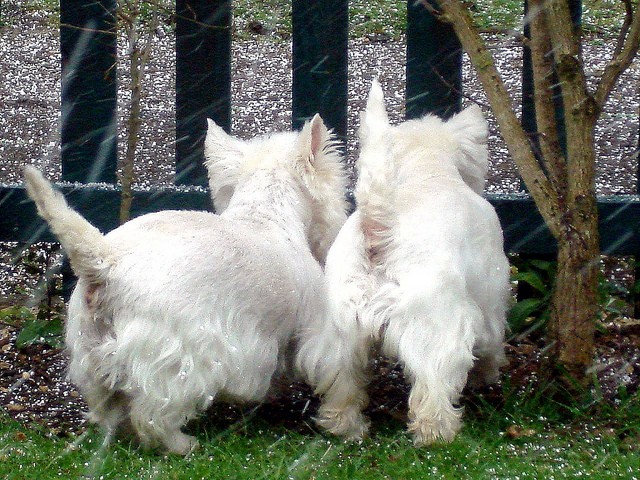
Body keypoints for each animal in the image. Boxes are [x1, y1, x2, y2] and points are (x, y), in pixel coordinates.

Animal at [23, 115, 350, 454]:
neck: (265, 216)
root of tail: (107, 261)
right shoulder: (313, 326)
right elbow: (333, 369)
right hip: (182, 358)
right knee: (152, 414)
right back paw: (183, 444)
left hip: (90, 348)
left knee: (109, 406)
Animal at [300, 81, 510, 446]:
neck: (426, 172)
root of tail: (378, 231)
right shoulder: (490, 296)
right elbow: (491, 342)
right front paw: (487, 375)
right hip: (434, 324)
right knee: (433, 383)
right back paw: (438, 434)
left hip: (338, 329)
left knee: (342, 380)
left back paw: (346, 427)